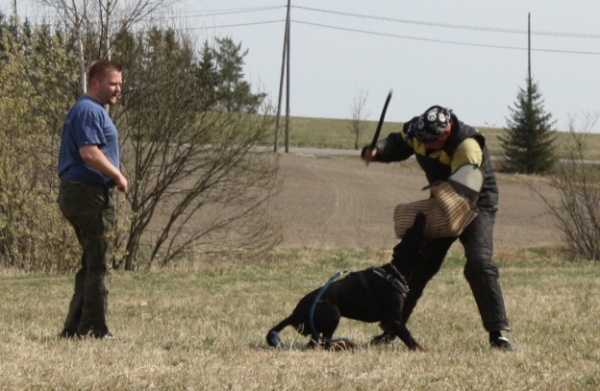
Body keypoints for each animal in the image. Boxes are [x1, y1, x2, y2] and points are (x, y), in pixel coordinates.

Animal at [268, 214, 426, 352]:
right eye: (414, 230)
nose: (420, 214)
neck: (395, 272)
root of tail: (294, 314)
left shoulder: (388, 322)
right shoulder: (394, 320)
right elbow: (411, 340)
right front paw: (423, 350)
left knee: (315, 343)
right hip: (333, 312)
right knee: (323, 343)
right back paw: (345, 346)